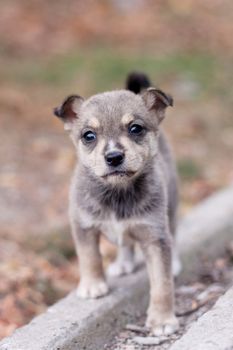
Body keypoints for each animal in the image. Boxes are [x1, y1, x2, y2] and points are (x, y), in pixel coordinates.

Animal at [53, 72, 180, 336]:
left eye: (136, 128)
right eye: (88, 135)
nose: (113, 157)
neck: (117, 192)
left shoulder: (155, 235)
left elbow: (162, 284)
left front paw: (162, 320)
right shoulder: (83, 226)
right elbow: (89, 257)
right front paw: (93, 286)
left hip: (171, 207)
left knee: (174, 234)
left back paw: (174, 262)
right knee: (125, 244)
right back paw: (123, 264)